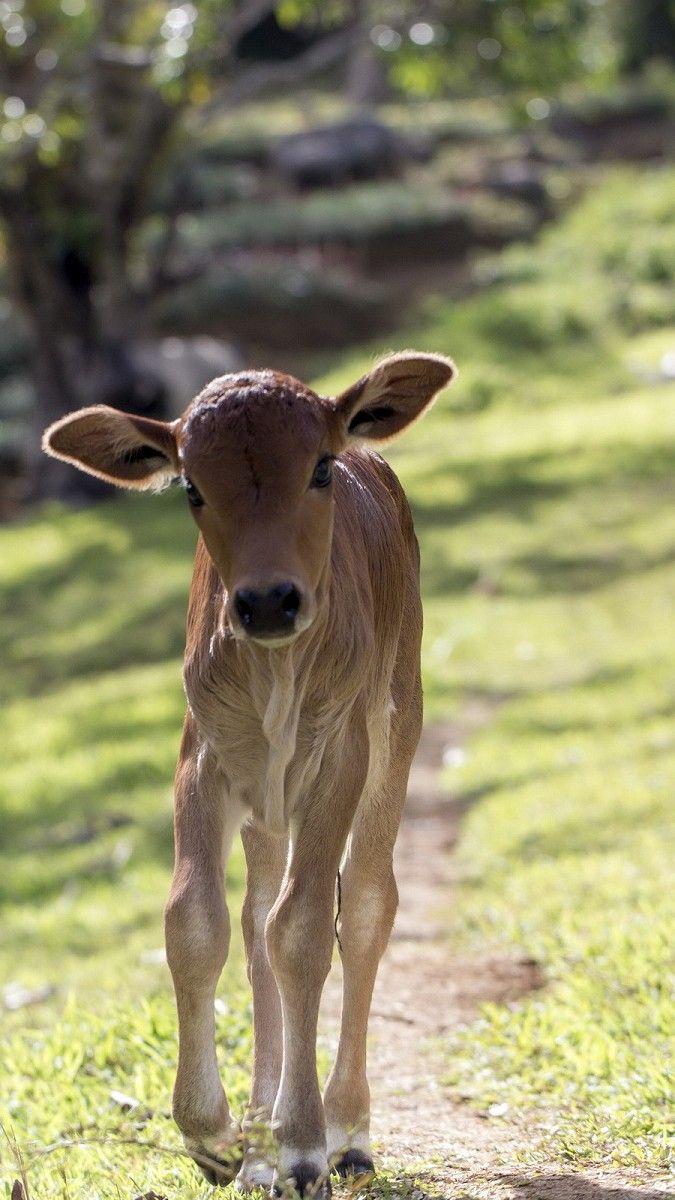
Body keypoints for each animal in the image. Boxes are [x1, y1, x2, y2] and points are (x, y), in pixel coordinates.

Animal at [42, 351, 456, 1197]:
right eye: (192, 488)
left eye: (319, 468)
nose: (267, 601)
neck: (275, 675)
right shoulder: (202, 756)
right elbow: (195, 921)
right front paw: (217, 1135)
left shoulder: (337, 759)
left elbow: (306, 928)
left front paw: (302, 1146)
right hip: (267, 801)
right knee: (256, 913)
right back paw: (262, 1141)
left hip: (397, 723)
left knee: (366, 904)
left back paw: (346, 1132)